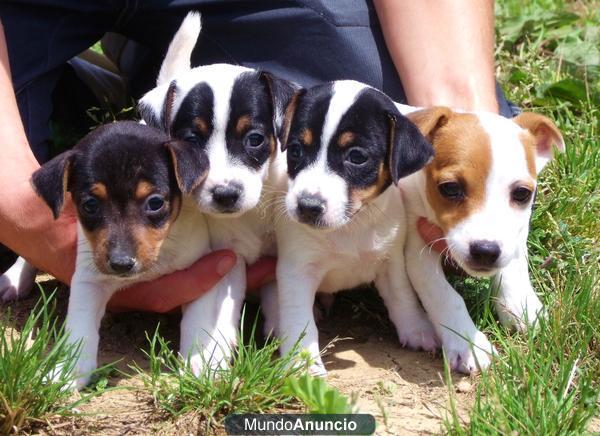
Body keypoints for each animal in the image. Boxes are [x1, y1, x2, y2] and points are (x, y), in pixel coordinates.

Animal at [138, 12, 292, 354]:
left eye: (255, 139)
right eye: (191, 142)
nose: (226, 195)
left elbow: (279, 289)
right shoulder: (226, 255)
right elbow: (218, 308)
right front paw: (209, 357)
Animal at [272, 81, 436, 374]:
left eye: (357, 157)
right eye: (296, 150)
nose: (307, 206)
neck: (350, 226)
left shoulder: (391, 261)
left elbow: (403, 296)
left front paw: (417, 329)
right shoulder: (296, 270)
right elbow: (299, 320)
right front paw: (303, 362)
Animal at [398, 104, 564, 372]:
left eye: (522, 194)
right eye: (450, 188)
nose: (486, 250)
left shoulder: (515, 235)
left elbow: (513, 268)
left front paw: (521, 305)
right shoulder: (417, 250)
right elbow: (445, 296)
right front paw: (468, 343)